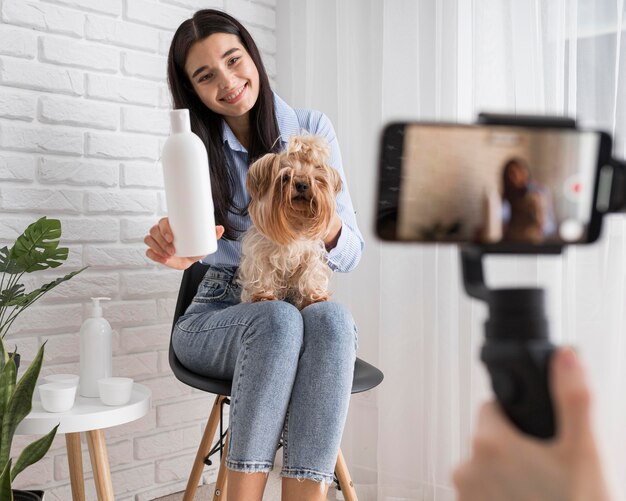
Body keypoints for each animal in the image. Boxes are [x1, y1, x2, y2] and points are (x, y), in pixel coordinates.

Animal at [236, 134, 342, 308]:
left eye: (314, 179)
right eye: (285, 177)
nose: (302, 184)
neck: (295, 219)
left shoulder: (311, 254)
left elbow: (310, 274)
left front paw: (314, 296)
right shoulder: (260, 253)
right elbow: (263, 273)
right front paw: (263, 296)